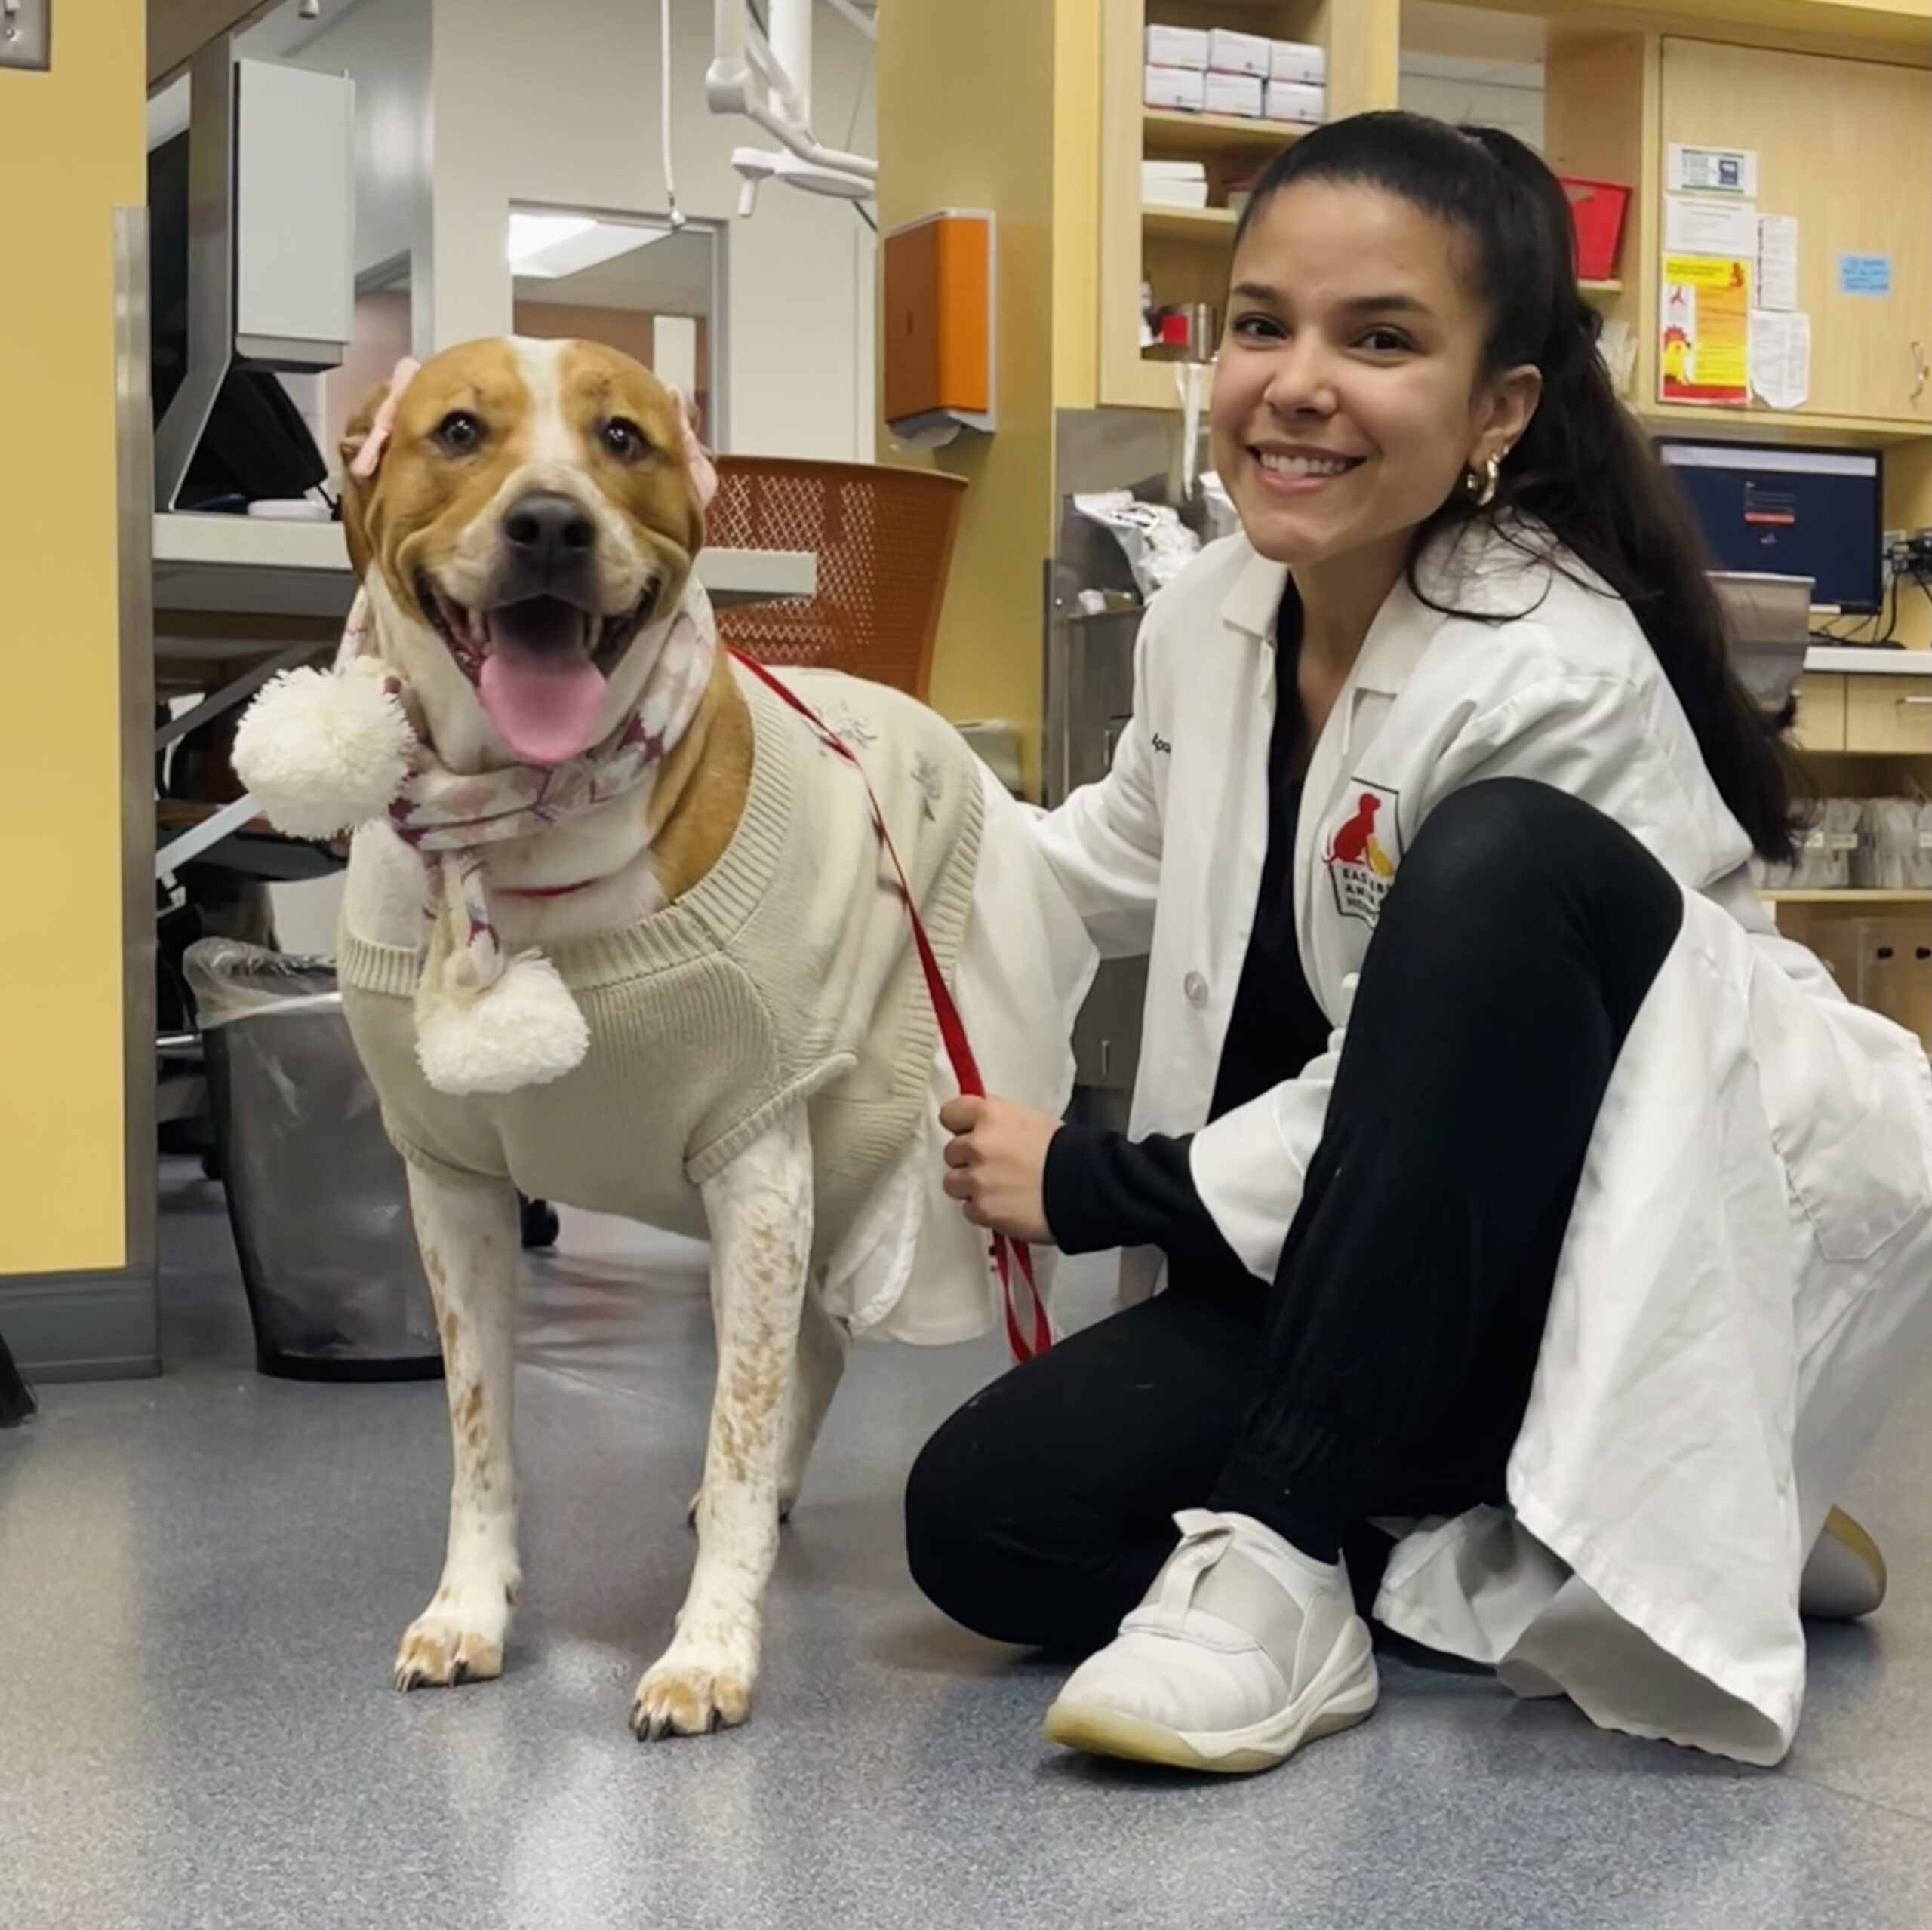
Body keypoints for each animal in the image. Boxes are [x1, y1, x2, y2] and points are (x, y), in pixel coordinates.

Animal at [233, 340, 1097, 1746]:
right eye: (458, 429)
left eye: (624, 439)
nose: (549, 522)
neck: (519, 841)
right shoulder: (452, 1186)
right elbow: (479, 1428)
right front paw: (469, 1609)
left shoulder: (757, 1162)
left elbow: (734, 1424)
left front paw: (709, 1646)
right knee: (810, 1344)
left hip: (850, 1148)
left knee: (810, 1345)